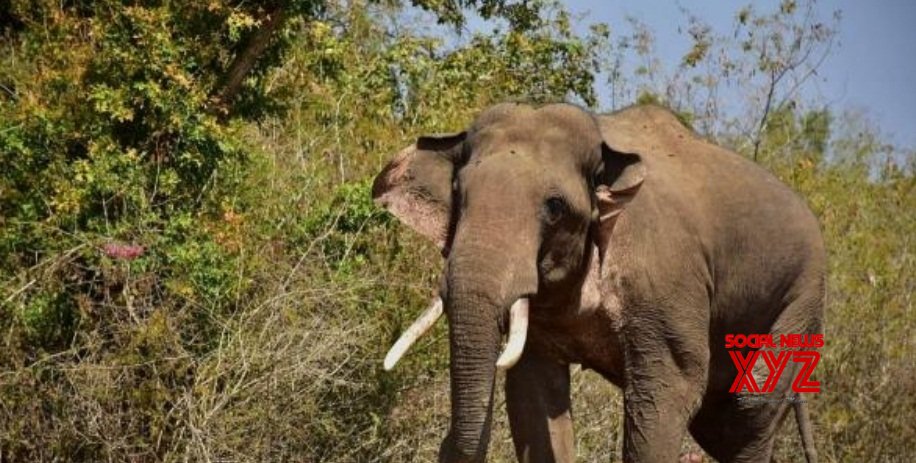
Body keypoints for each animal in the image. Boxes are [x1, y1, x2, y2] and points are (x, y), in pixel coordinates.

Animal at [372, 102, 825, 463]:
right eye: (458, 192)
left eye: (555, 206)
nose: (446, 444)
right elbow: (535, 394)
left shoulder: (665, 280)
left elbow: (668, 387)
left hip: (800, 300)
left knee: (748, 410)